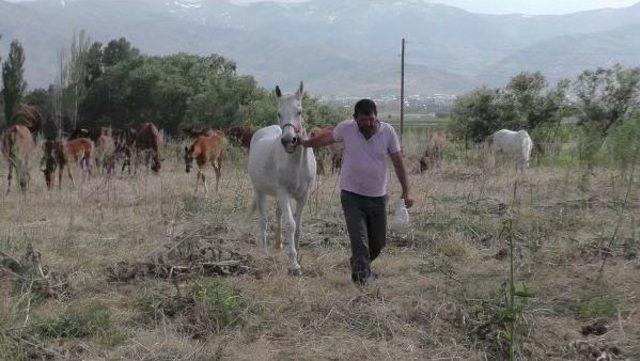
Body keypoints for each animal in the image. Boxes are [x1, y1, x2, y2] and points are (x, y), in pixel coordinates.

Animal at [246, 81, 316, 272]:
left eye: (299, 111)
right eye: (279, 113)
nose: (288, 140)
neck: (297, 163)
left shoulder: (304, 195)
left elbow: (298, 225)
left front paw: (298, 253)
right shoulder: (284, 192)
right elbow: (290, 224)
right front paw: (294, 263)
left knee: (278, 213)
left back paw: (278, 244)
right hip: (260, 191)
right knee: (263, 220)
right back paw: (265, 253)